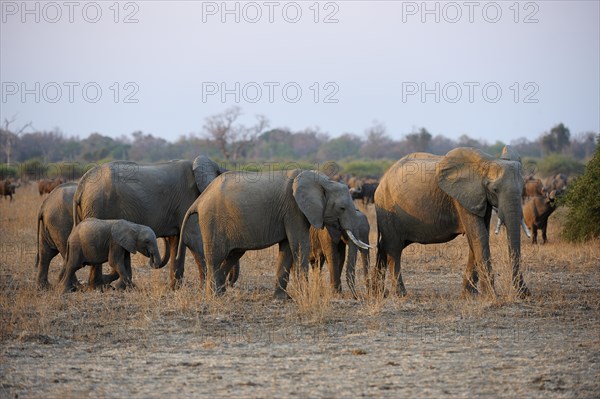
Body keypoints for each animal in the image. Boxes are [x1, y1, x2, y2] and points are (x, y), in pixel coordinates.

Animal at [71, 156, 230, 290]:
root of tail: (81, 186)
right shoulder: (188, 200)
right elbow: (192, 238)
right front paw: (203, 288)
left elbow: (177, 240)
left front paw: (174, 288)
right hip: (97, 206)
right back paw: (99, 287)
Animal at [179, 170, 370, 300]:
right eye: (342, 208)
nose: (356, 297)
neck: (323, 181)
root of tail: (199, 200)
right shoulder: (294, 209)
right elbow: (299, 244)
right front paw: (305, 296)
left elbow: (287, 249)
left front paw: (283, 299)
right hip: (212, 221)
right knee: (215, 257)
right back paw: (214, 296)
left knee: (233, 254)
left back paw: (220, 293)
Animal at [376, 148, 528, 298]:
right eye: (495, 190)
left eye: (522, 190)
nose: (524, 294)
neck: (487, 162)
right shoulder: (462, 198)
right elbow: (479, 236)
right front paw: (491, 296)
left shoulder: (478, 197)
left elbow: (476, 237)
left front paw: (469, 295)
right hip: (387, 206)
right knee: (394, 248)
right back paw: (400, 294)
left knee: (385, 245)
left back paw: (377, 292)